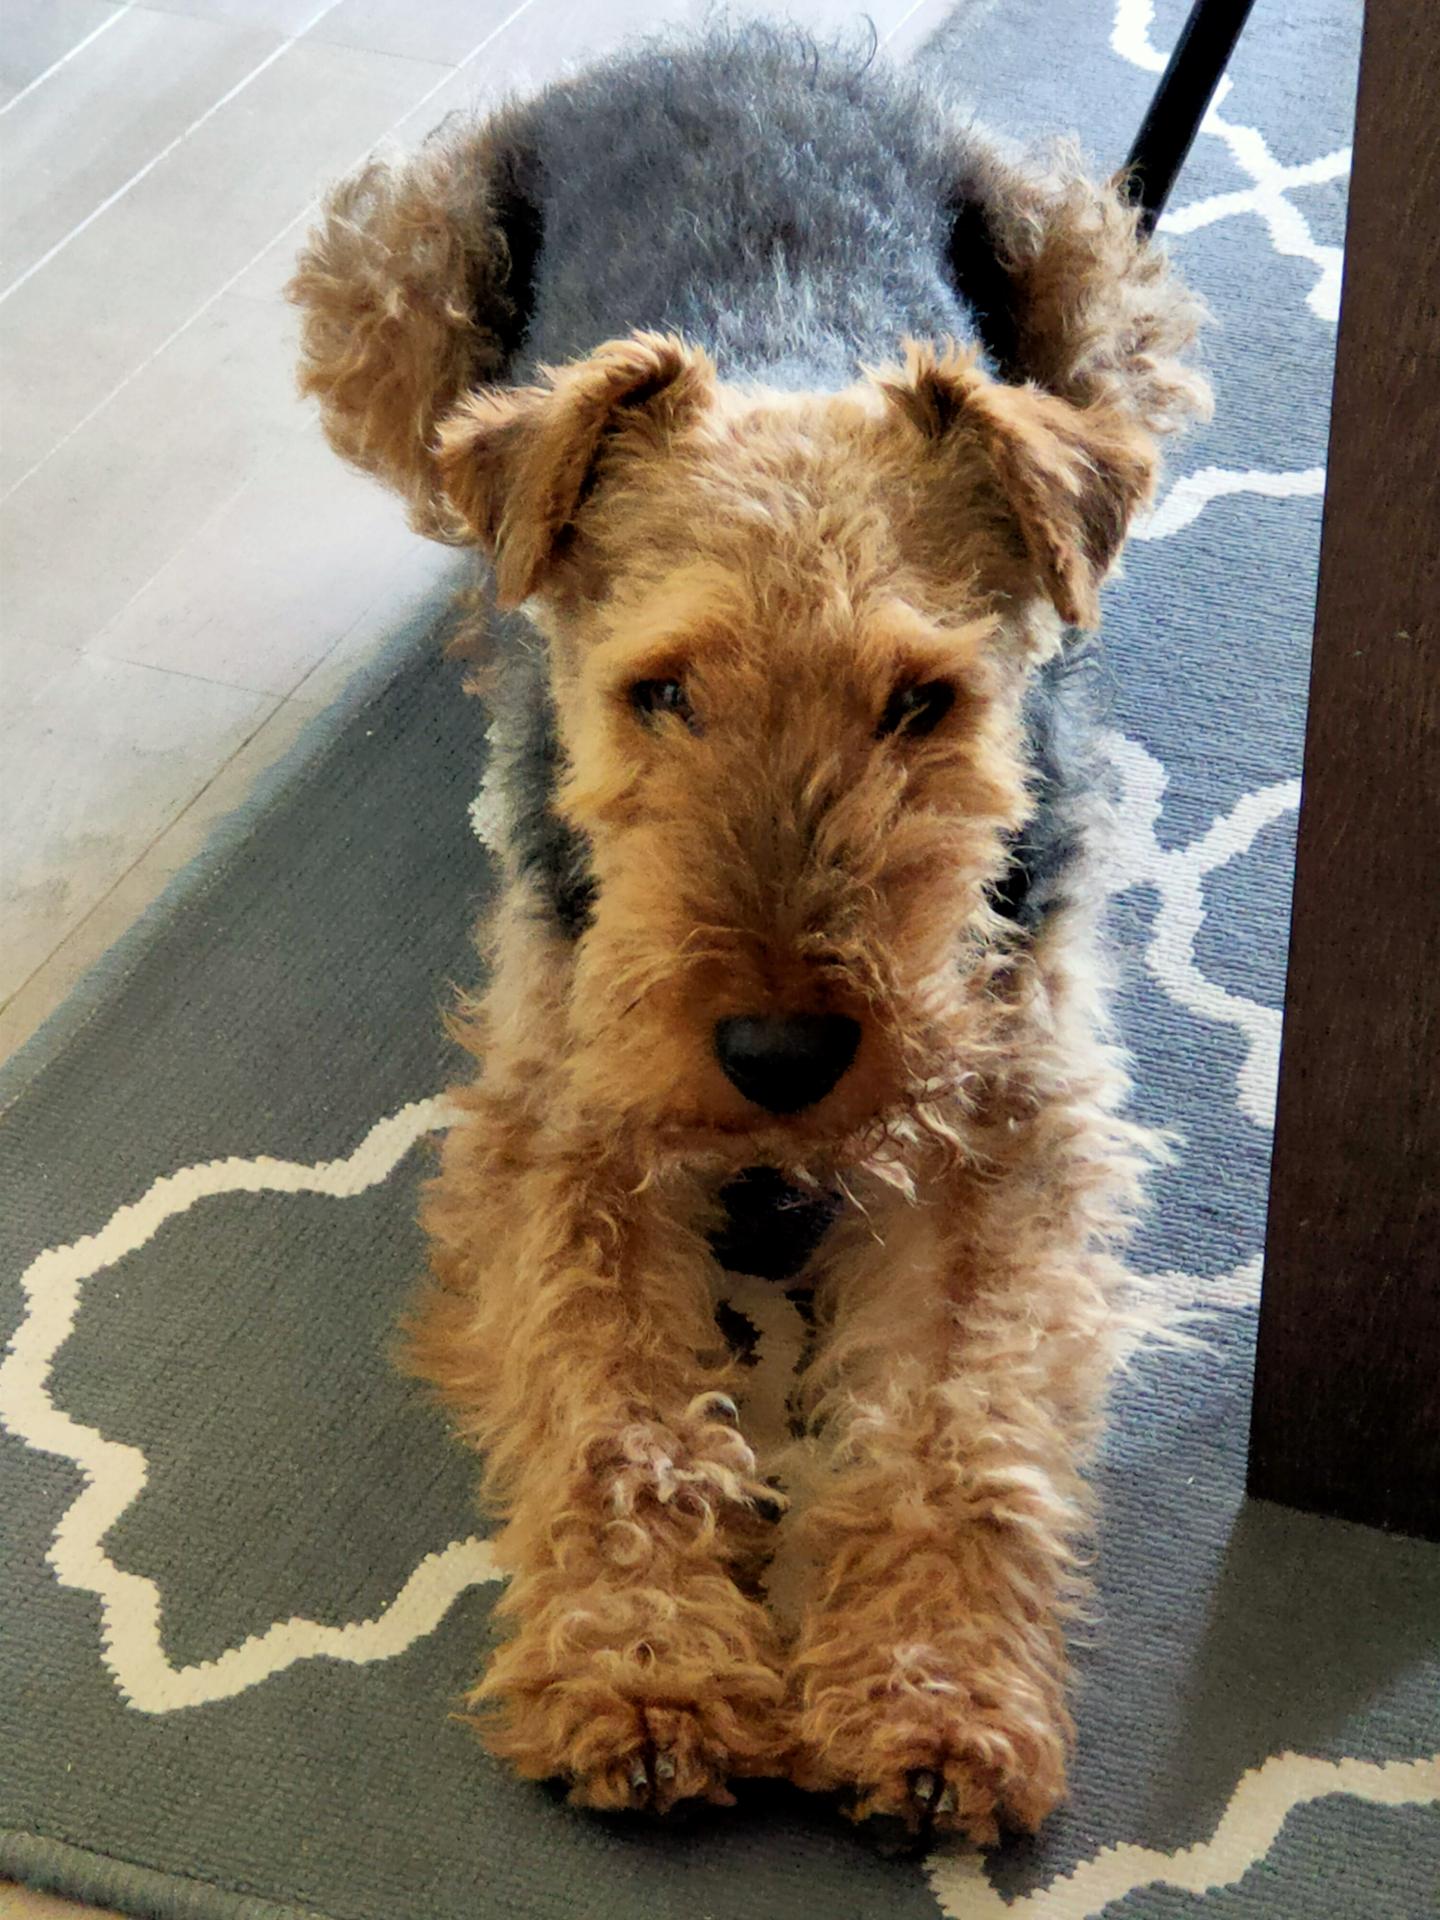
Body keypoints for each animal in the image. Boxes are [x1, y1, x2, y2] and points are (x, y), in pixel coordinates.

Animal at [288, 26, 1209, 1843]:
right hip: (391, 283)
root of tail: (725, 38)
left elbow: (953, 1424)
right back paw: (481, 609)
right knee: (458, 504)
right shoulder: (571, 1119)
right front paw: (646, 1677)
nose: (781, 1054)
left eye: (925, 701)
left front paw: (932, 1702)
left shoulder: (997, 1121)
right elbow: (613, 1403)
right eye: (662, 690)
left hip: (1095, 273)